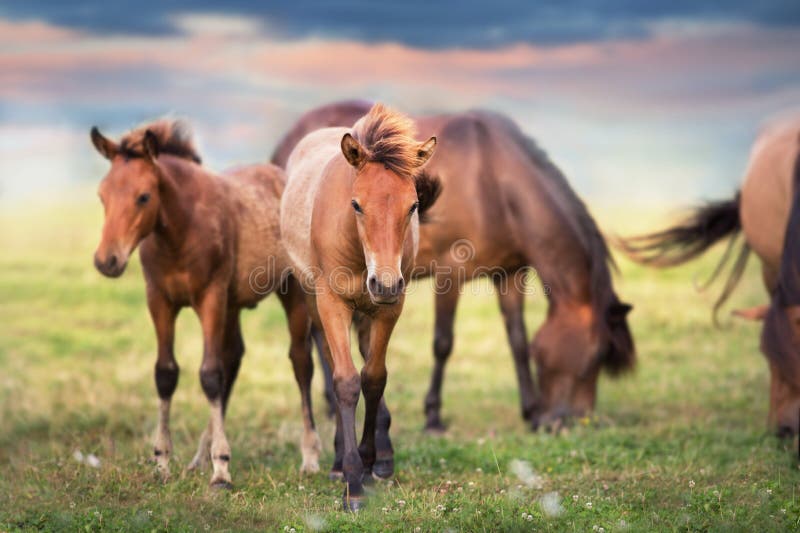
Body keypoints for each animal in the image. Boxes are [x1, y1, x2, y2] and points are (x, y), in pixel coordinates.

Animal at [90, 119, 322, 486]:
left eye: (144, 196)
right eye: (102, 195)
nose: (106, 261)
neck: (179, 231)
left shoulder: (211, 296)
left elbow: (210, 375)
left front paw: (222, 469)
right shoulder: (159, 299)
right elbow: (166, 373)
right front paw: (162, 461)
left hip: (293, 293)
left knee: (301, 362)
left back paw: (309, 457)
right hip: (232, 305)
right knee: (234, 356)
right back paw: (200, 456)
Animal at [272, 102, 636, 434]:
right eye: (596, 356)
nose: (571, 421)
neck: (492, 181)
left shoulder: (509, 274)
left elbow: (518, 340)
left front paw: (531, 412)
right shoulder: (450, 273)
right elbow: (443, 343)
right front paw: (433, 417)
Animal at [280, 103, 438, 508]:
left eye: (413, 205)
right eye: (356, 205)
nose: (385, 281)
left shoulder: (389, 307)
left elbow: (374, 378)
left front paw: (369, 461)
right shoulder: (332, 302)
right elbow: (346, 381)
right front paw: (352, 479)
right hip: (314, 301)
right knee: (328, 357)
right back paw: (338, 462)